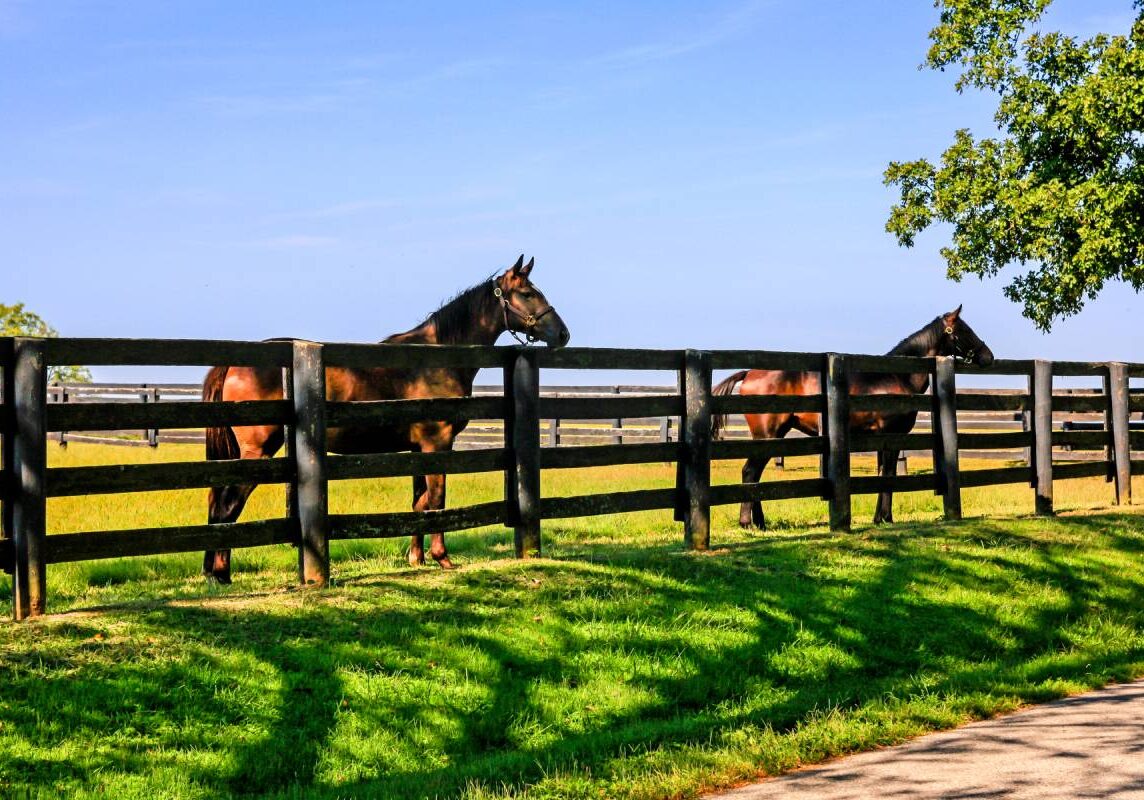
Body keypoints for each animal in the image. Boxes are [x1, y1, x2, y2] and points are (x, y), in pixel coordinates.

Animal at [203, 255, 569, 581]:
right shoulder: (437, 444)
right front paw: (442, 558)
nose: (563, 334)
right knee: (228, 505)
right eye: (527, 293)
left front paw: (417, 558)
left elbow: (419, 503)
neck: (435, 358)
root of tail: (233, 364)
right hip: (258, 451)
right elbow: (437, 500)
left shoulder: (418, 449)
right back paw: (219, 574)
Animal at [713, 309, 992, 528]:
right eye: (964, 329)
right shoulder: (892, 436)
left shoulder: (883, 439)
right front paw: (885, 518)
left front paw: (880, 518)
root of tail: (749, 373)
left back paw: (759, 522)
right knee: (750, 472)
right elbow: (888, 474)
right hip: (768, 435)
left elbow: (882, 474)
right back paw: (748, 522)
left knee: (754, 476)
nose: (987, 356)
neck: (896, 376)